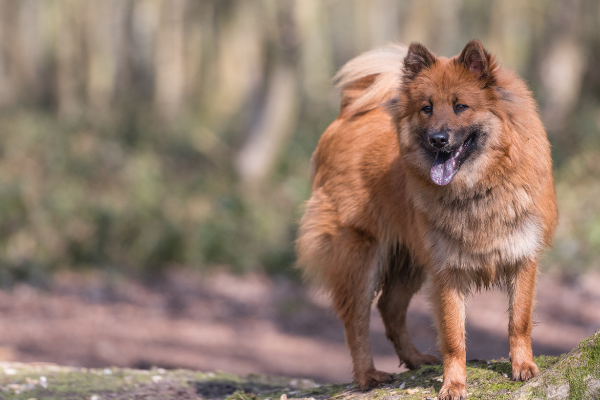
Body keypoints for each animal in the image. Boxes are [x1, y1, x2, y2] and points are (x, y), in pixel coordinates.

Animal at [296, 39, 556, 398]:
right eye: (427, 108)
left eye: (460, 106)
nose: (438, 139)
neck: (478, 188)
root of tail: (348, 116)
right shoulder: (447, 271)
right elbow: (454, 337)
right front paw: (454, 385)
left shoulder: (522, 257)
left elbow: (519, 321)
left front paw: (523, 367)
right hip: (361, 256)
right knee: (356, 320)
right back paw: (367, 375)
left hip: (408, 261)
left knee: (389, 308)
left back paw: (415, 358)